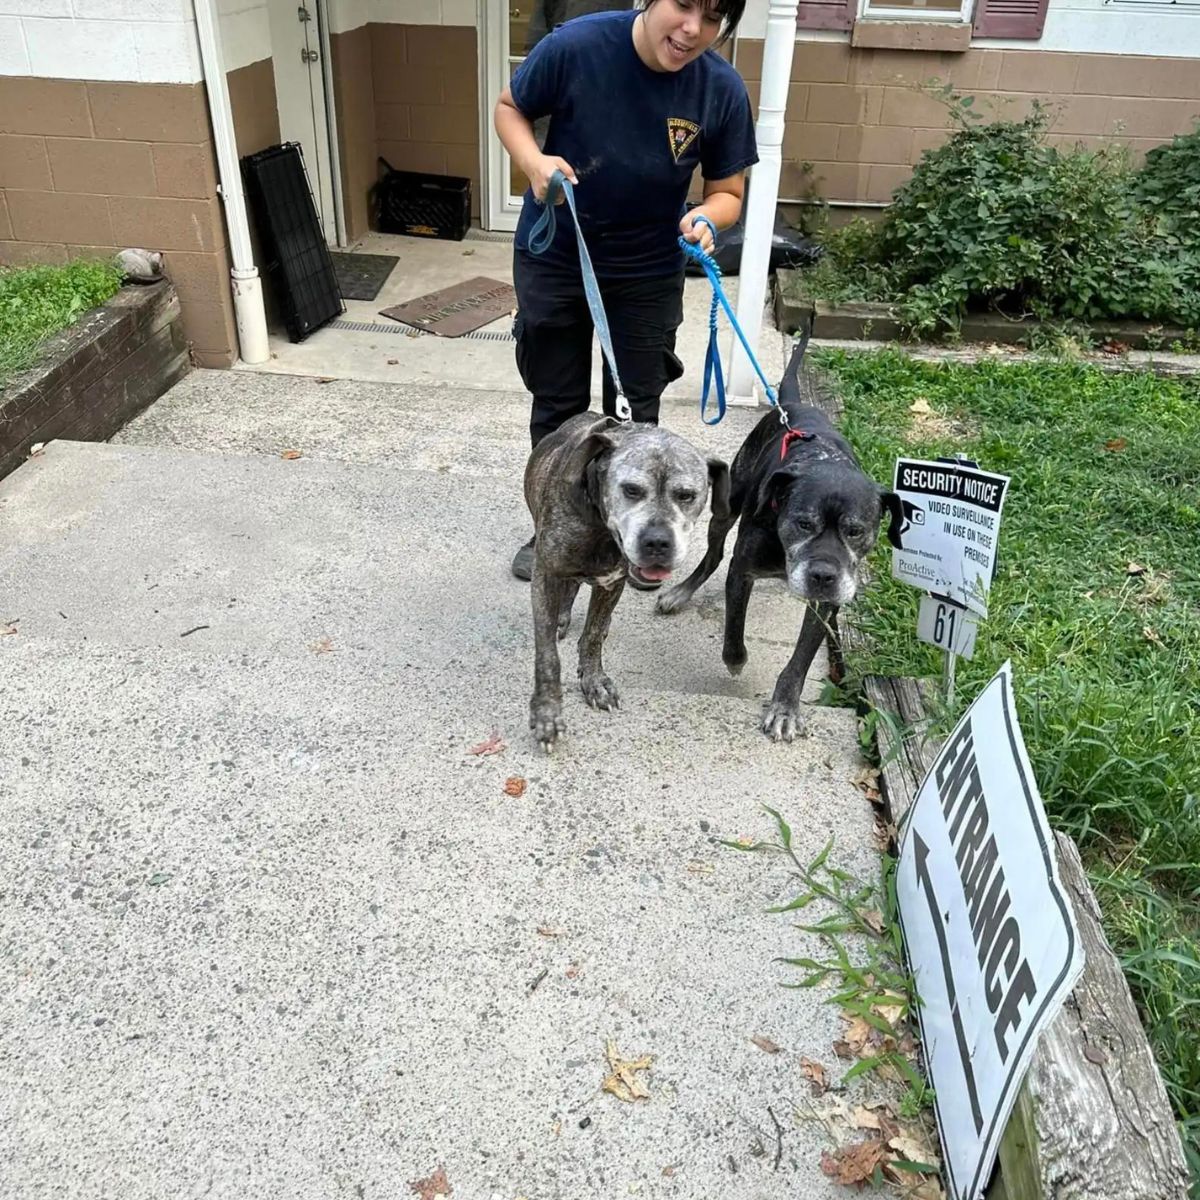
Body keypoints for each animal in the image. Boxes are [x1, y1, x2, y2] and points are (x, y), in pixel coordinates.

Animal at [657, 338, 902, 739]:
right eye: (803, 523)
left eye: (856, 531)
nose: (822, 576)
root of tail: (792, 406)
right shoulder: (742, 571)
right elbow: (733, 634)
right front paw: (736, 662)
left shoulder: (824, 603)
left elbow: (800, 660)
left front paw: (785, 707)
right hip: (728, 504)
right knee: (713, 554)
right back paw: (681, 592)